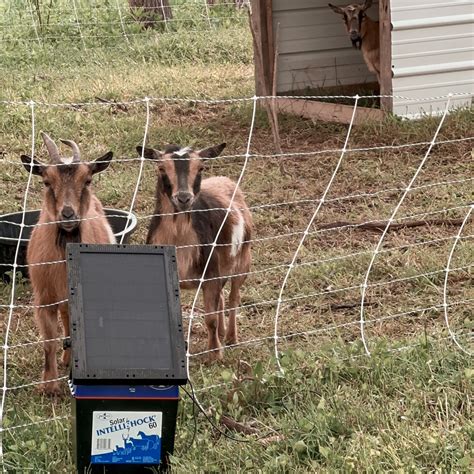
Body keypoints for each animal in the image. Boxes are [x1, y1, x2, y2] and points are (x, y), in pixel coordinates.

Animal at [21, 131, 116, 394]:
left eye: (88, 180)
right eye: (46, 182)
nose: (68, 214)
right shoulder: (44, 298)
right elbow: (49, 342)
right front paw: (49, 387)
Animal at [138, 143, 252, 362]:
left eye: (200, 168)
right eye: (161, 168)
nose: (183, 198)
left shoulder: (210, 274)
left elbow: (210, 318)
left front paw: (215, 354)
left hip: (243, 259)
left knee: (233, 297)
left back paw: (231, 338)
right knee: (222, 298)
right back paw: (223, 334)